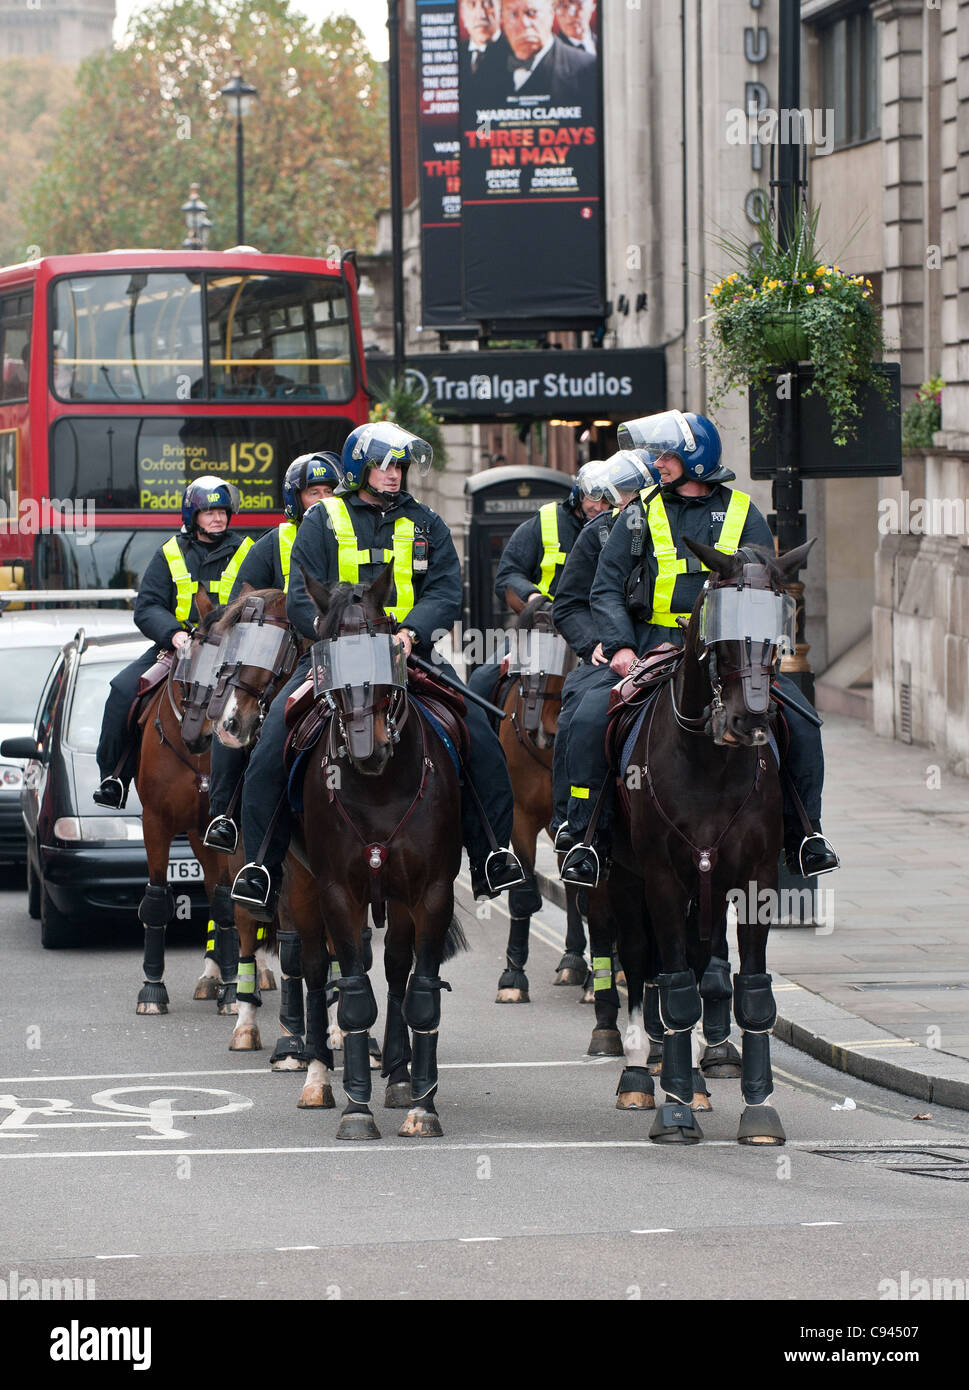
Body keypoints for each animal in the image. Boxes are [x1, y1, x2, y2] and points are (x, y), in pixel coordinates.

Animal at [283, 564, 464, 1139]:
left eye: (385, 638)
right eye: (325, 649)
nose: (367, 748)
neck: (382, 787)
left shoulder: (431, 891)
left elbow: (422, 993)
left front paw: (422, 1105)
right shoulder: (338, 891)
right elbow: (354, 996)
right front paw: (355, 1109)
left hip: (401, 901)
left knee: (398, 971)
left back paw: (402, 1076)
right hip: (300, 883)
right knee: (314, 967)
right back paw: (317, 1076)